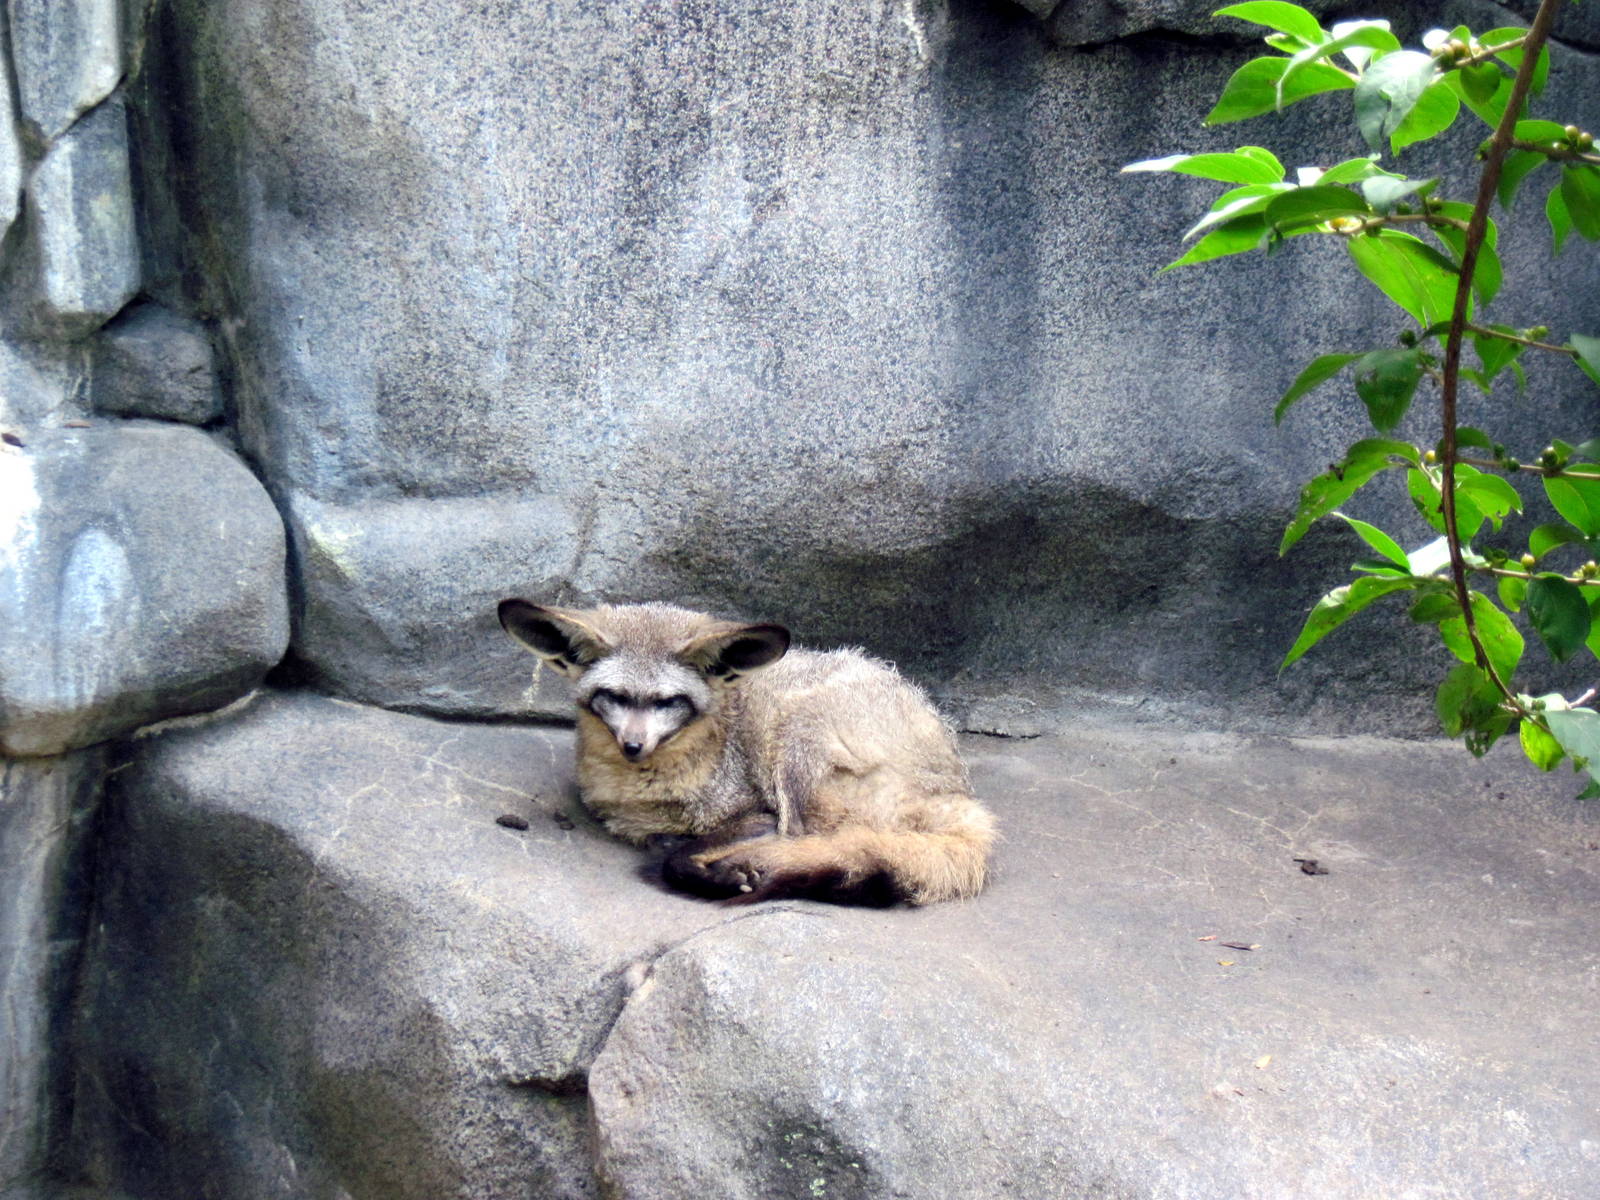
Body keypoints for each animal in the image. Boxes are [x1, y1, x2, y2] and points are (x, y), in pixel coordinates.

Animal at [497, 599, 996, 906]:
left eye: (667, 702)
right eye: (614, 697)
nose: (633, 745)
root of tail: (960, 794)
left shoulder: (757, 813)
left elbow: (684, 855)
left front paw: (713, 871)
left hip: (797, 735)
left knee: (812, 841)